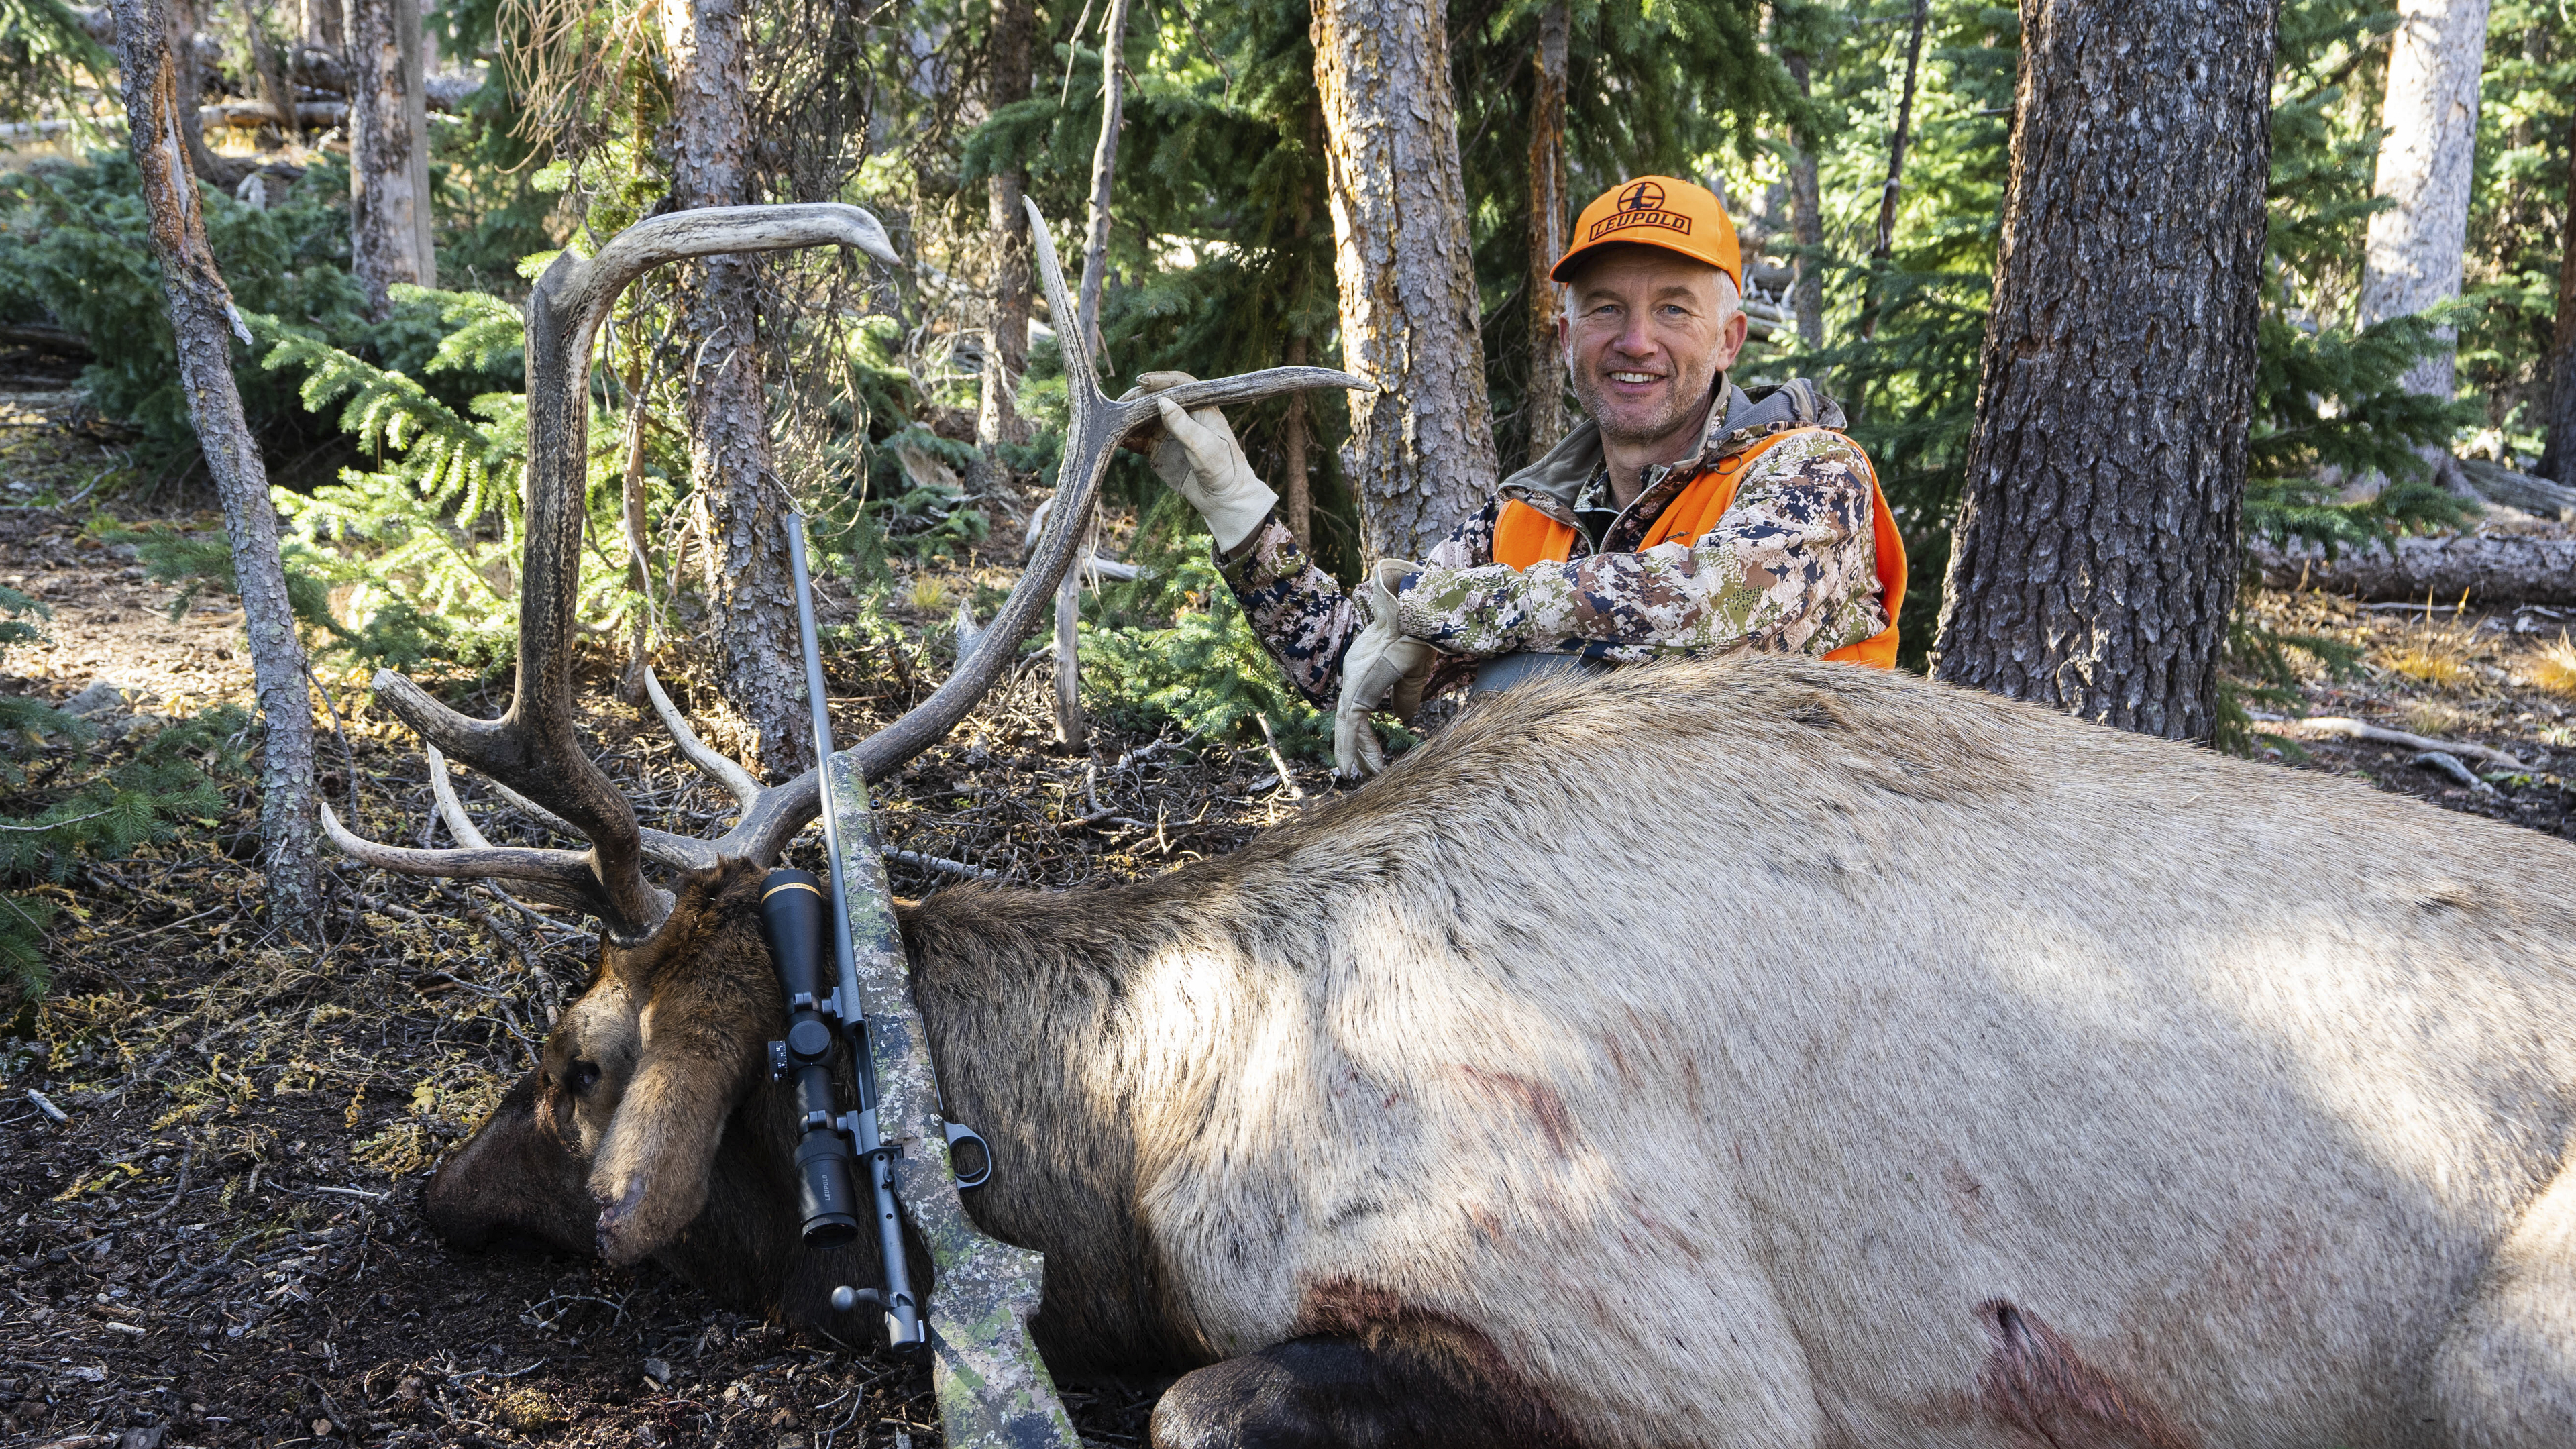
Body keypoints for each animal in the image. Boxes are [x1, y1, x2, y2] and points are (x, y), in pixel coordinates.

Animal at [326, 201, 2576, 1449]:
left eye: (580, 1059)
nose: (424, 1196)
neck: (1131, 1143)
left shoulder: (1676, 1355)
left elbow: (1198, 1399)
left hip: (2496, 1349)